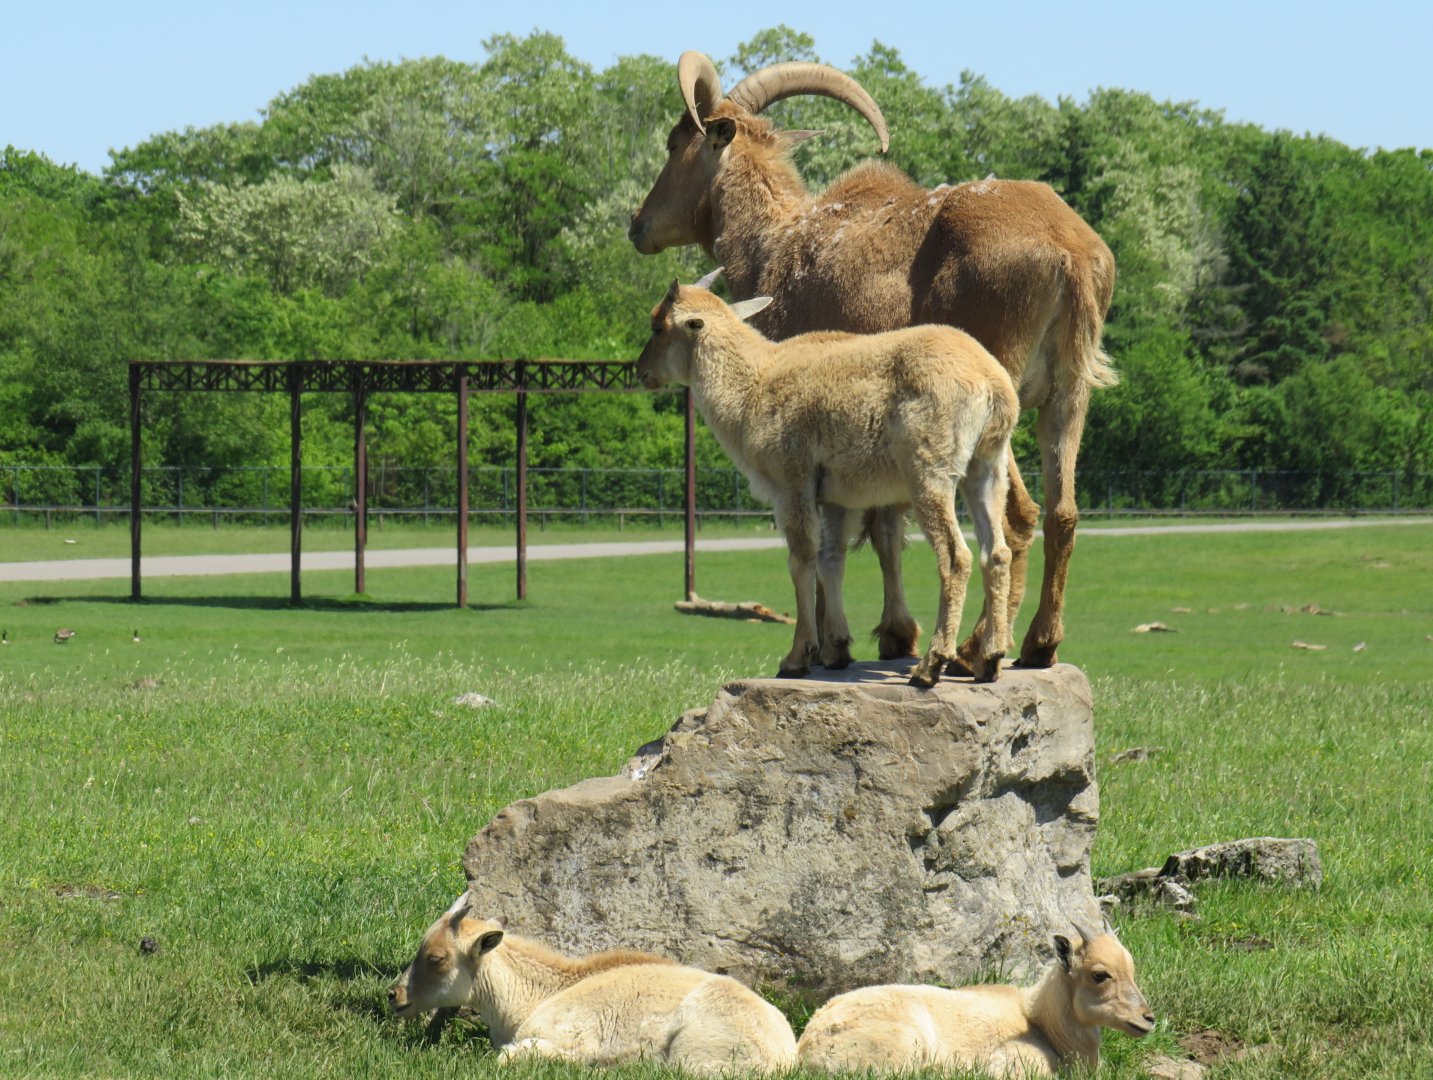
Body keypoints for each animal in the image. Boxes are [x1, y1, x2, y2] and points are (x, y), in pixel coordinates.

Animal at [388, 894, 797, 1073]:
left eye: (436, 958)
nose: (395, 995)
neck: (535, 996)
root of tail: (783, 1056)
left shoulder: (569, 1035)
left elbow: (511, 1056)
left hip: (697, 1053)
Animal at [636, 275, 1017, 686]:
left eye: (657, 326)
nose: (641, 371)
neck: (751, 388)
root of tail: (993, 385)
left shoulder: (792, 480)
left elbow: (801, 558)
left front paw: (796, 657)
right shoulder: (836, 497)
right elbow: (831, 559)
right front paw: (837, 649)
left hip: (930, 471)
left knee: (955, 555)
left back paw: (931, 664)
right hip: (988, 467)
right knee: (997, 551)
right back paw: (991, 659)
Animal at [796, 930, 1154, 1076]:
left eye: (1132, 968)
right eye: (1100, 975)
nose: (1148, 1018)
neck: (1039, 1021)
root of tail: (805, 1047)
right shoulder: (1014, 1065)